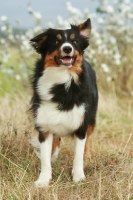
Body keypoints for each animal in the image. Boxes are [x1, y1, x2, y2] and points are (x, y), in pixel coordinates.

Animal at [30, 18, 98, 188]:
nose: (67, 48)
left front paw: (79, 177)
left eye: (74, 41)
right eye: (56, 41)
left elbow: (78, 155)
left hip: (91, 118)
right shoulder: (44, 124)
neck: (62, 78)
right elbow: (45, 158)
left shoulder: (81, 124)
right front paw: (43, 180)